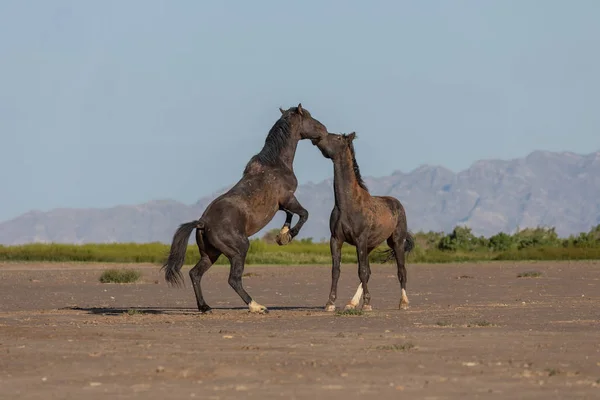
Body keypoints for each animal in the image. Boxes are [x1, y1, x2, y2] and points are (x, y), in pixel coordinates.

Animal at [161, 104, 328, 314]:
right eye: (308, 117)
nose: (324, 131)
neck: (275, 164)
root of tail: (202, 223)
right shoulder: (288, 198)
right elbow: (304, 214)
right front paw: (288, 235)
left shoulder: (280, 205)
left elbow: (290, 215)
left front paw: (282, 234)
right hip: (238, 250)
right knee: (233, 279)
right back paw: (256, 306)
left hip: (211, 254)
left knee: (195, 274)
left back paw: (205, 307)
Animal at [312, 133, 414, 310]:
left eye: (338, 138)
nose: (317, 137)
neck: (348, 204)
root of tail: (397, 204)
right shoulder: (336, 239)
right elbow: (336, 270)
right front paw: (330, 303)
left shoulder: (360, 239)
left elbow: (362, 271)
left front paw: (367, 304)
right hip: (370, 245)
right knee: (369, 271)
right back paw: (351, 303)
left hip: (396, 242)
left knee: (401, 271)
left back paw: (403, 302)